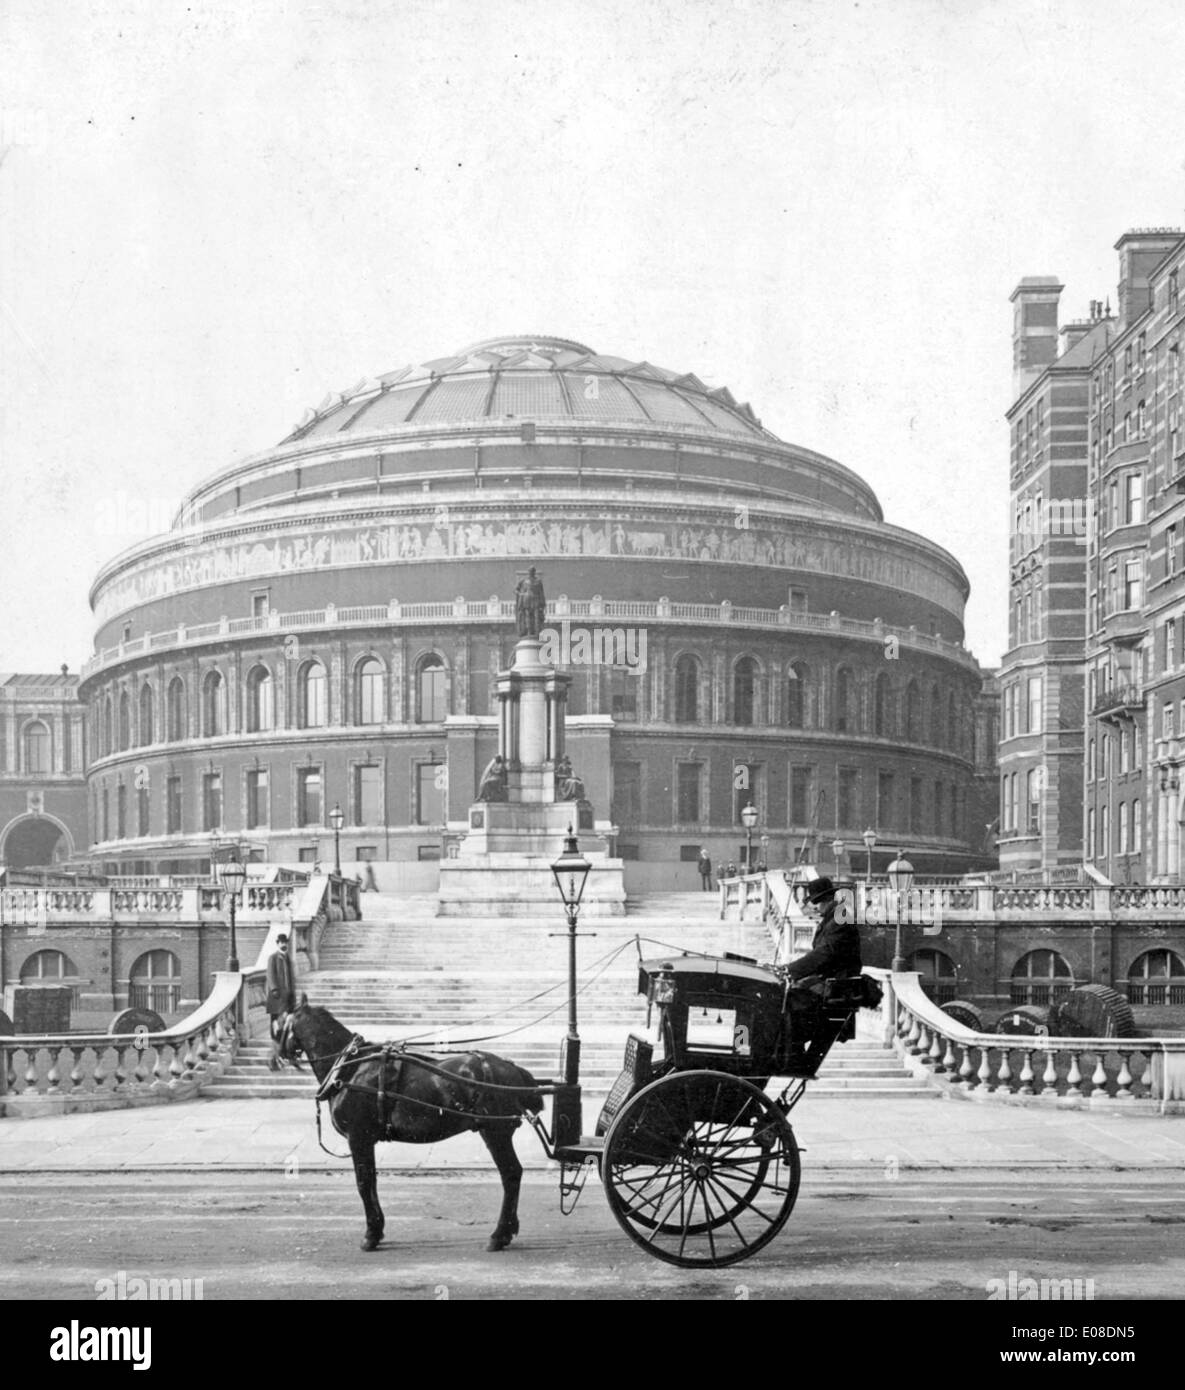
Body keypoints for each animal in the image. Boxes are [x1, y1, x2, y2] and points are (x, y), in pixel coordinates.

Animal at [277, 995, 541, 1256]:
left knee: (511, 1174)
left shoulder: (358, 1137)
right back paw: (508, 1230)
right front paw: (377, 1229)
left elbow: (363, 1183)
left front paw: (371, 1235)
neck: (351, 1067)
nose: (276, 1058)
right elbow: (371, 1181)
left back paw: (499, 1235)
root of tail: (513, 1069)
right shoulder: (366, 1139)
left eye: (279, 1023)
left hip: (495, 1132)